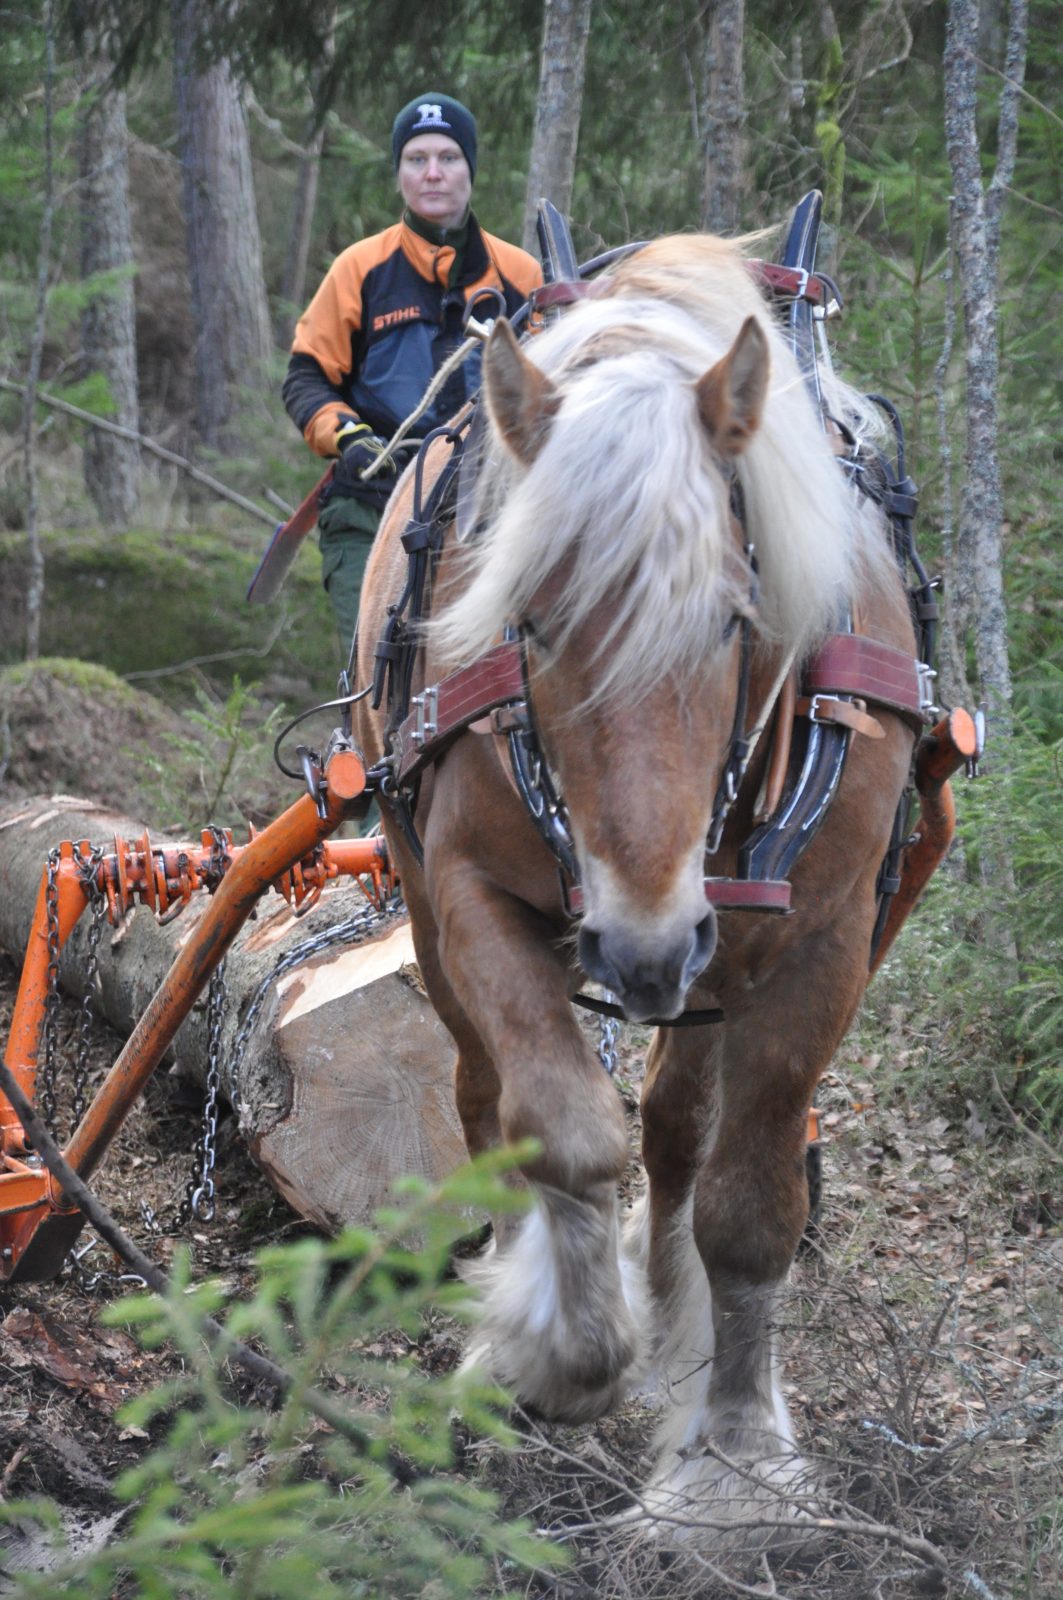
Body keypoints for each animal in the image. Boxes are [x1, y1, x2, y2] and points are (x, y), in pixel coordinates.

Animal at [355, 232, 922, 1542]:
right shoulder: (474, 894)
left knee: (674, 1131)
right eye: (530, 623)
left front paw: (732, 1458)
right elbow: (555, 1126)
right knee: (482, 1097)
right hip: (433, 911)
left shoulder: (818, 943)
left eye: (731, 620)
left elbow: (749, 1203)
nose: (638, 947)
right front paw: (557, 1351)